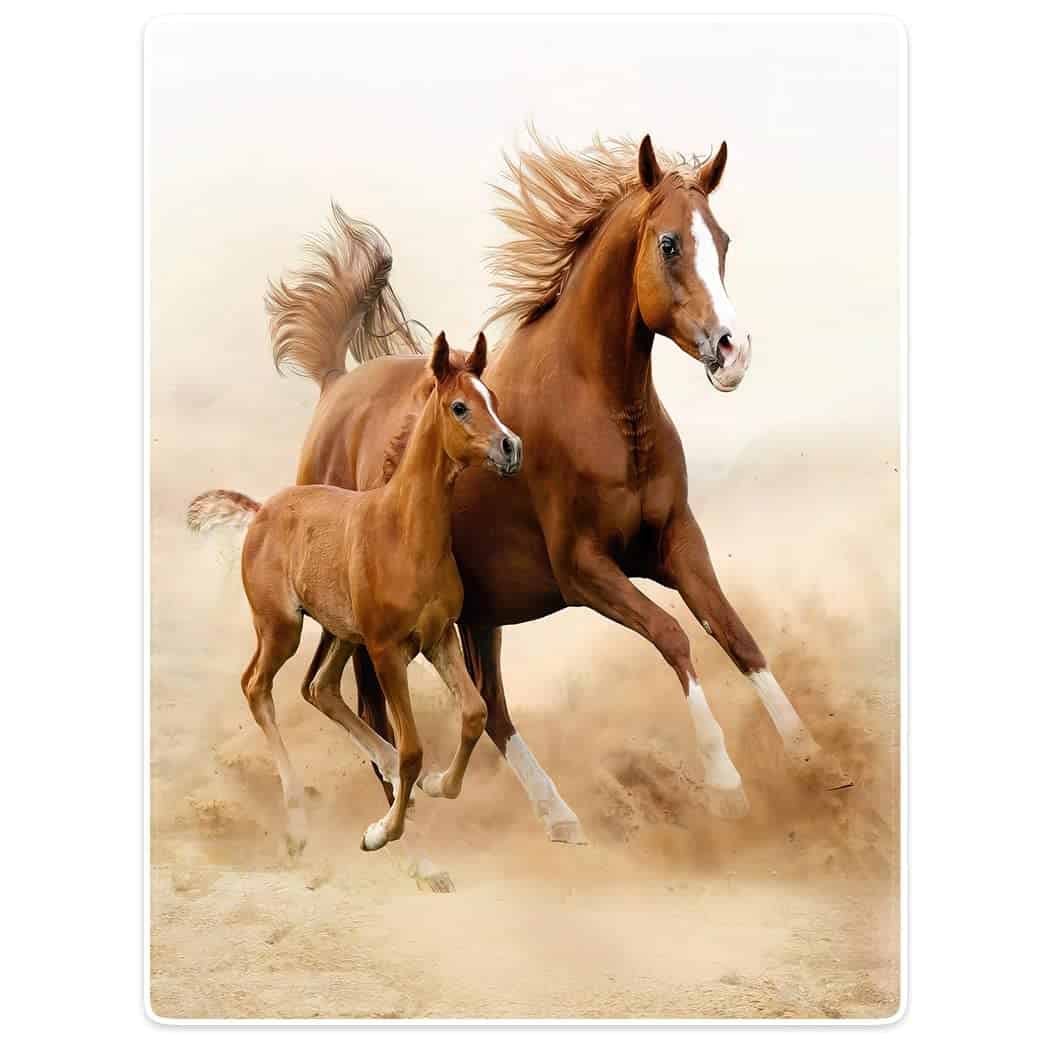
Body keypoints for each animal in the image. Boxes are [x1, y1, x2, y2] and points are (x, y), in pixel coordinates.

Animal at [187, 332, 522, 856]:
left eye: (495, 401)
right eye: (460, 406)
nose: (511, 448)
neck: (405, 532)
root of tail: (261, 512)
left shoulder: (439, 637)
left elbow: (473, 713)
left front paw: (436, 784)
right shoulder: (386, 651)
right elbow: (413, 748)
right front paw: (380, 832)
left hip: (342, 632)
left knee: (320, 688)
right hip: (282, 628)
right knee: (256, 686)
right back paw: (298, 819)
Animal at [266, 132, 852, 854]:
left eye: (722, 238)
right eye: (669, 243)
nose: (733, 349)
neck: (601, 411)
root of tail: (332, 387)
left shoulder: (677, 542)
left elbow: (735, 634)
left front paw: (815, 759)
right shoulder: (584, 569)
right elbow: (674, 637)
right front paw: (726, 785)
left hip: (477, 611)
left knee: (489, 707)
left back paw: (556, 817)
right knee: (373, 700)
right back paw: (407, 821)